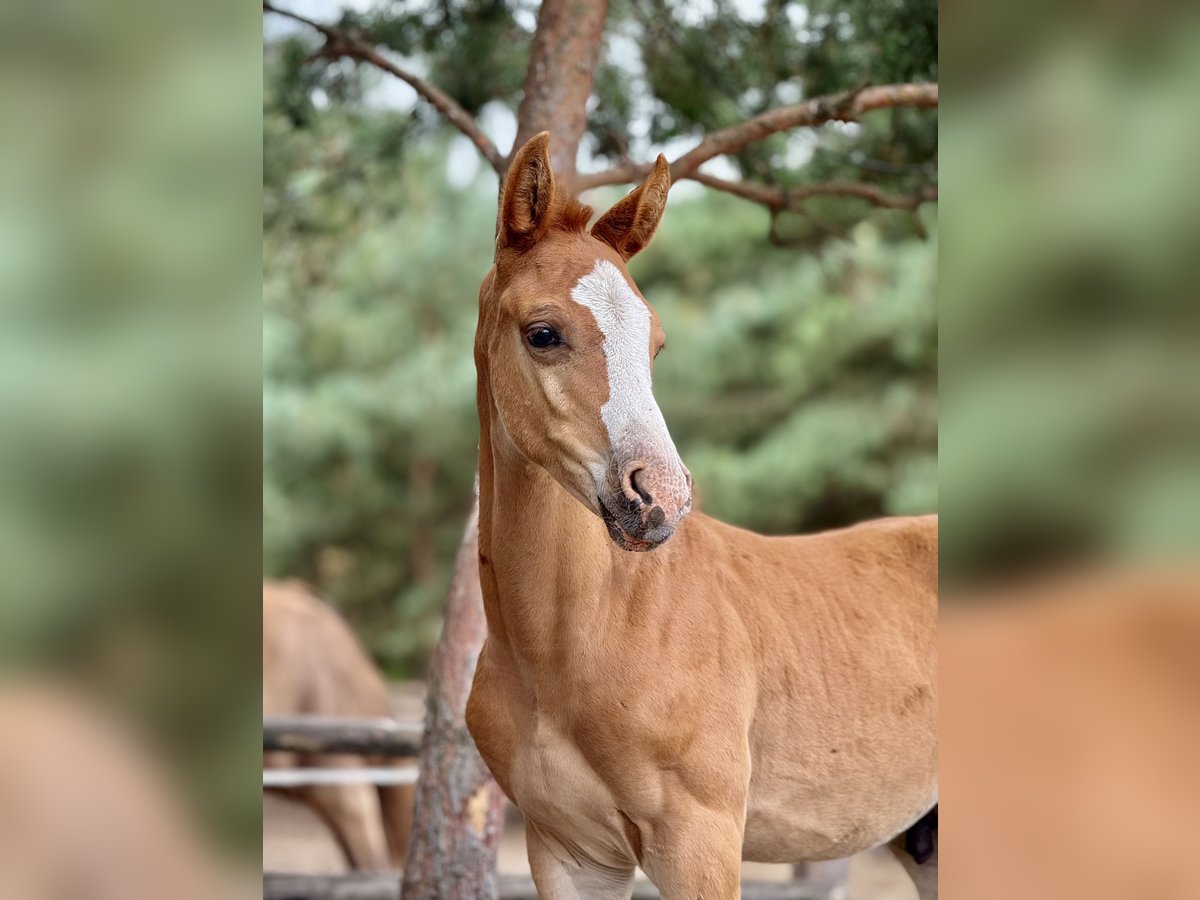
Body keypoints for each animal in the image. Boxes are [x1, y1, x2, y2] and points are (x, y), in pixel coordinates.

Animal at [465, 132, 938, 900]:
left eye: (655, 343)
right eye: (542, 333)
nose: (660, 498)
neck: (583, 635)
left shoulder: (699, 843)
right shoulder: (568, 854)